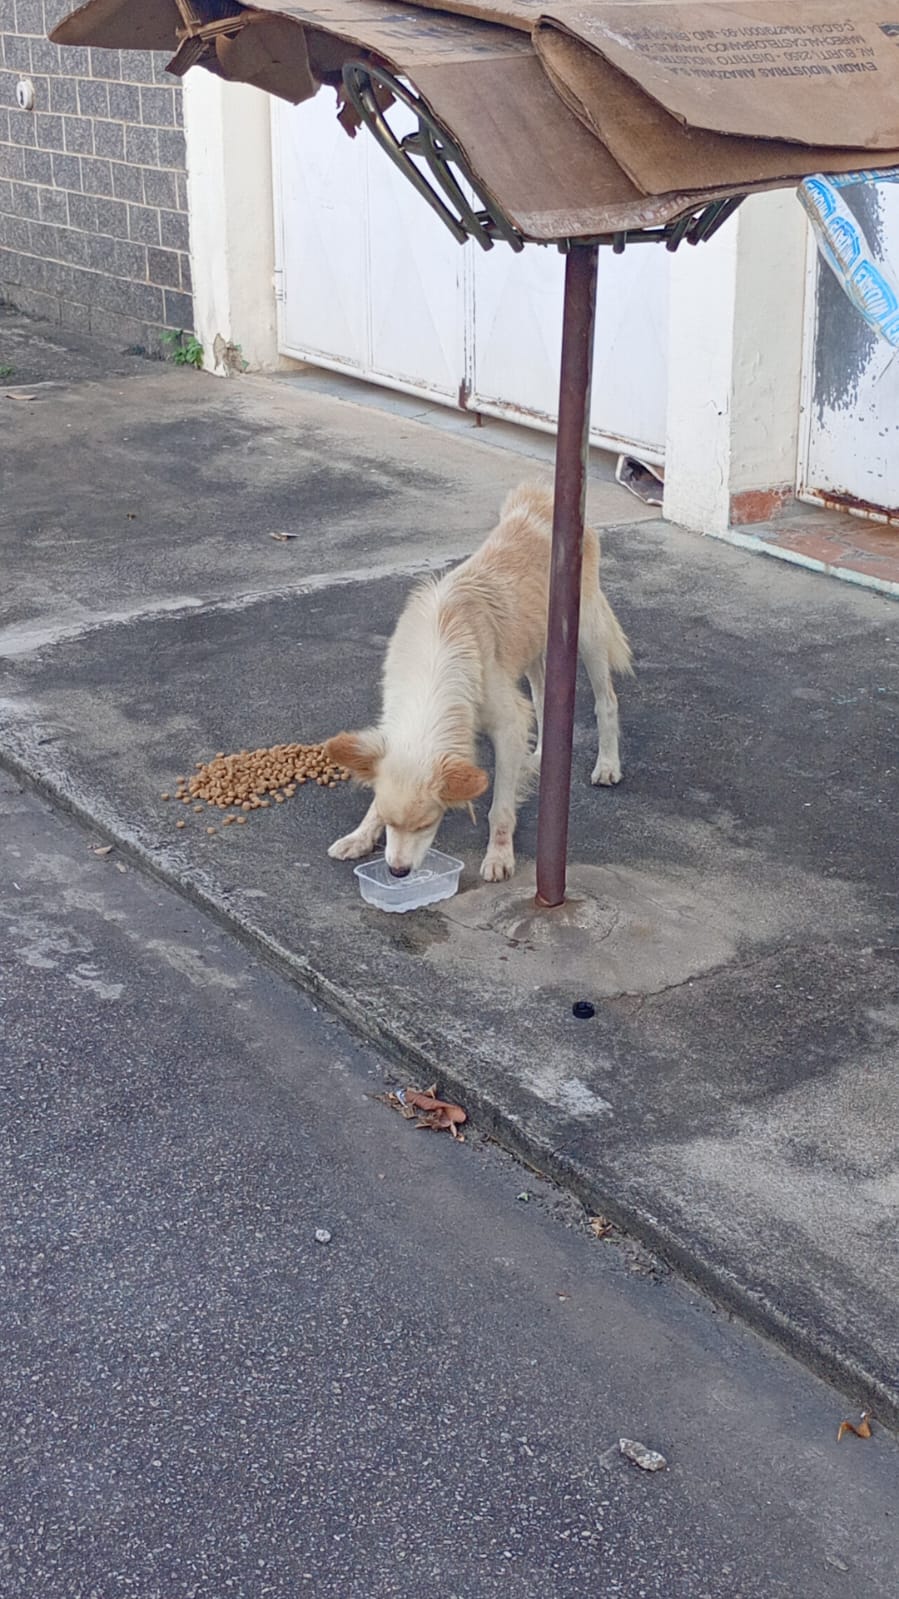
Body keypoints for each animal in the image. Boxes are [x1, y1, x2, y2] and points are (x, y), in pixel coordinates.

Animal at [324, 482, 632, 883]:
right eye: (391, 823)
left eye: (427, 824)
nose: (397, 872)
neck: (434, 667)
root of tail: (540, 494)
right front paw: (360, 836)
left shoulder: (508, 723)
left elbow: (500, 806)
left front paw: (499, 856)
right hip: (536, 648)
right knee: (543, 699)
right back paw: (540, 756)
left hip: (587, 632)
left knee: (606, 700)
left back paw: (608, 765)